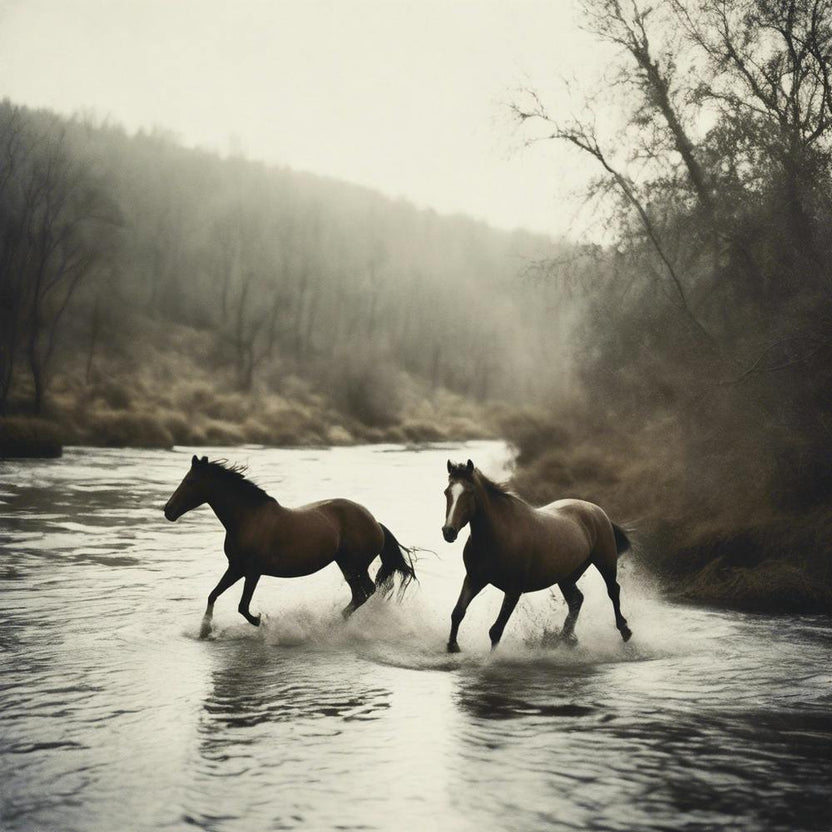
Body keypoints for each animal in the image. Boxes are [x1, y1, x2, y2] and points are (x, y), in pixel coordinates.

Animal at [164, 455, 416, 638]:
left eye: (190, 482)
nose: (168, 510)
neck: (248, 519)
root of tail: (376, 523)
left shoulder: (253, 571)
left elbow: (243, 607)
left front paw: (262, 621)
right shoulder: (235, 567)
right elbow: (213, 595)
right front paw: (204, 631)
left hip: (356, 565)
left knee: (367, 591)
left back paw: (333, 624)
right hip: (345, 565)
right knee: (360, 594)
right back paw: (335, 622)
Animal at [441, 459, 632, 653]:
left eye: (469, 493)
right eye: (447, 492)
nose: (448, 532)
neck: (499, 536)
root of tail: (597, 510)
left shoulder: (513, 590)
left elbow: (496, 630)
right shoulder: (474, 578)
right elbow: (457, 612)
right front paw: (452, 645)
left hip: (605, 562)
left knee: (613, 590)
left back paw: (624, 631)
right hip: (567, 577)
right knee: (576, 600)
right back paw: (565, 638)